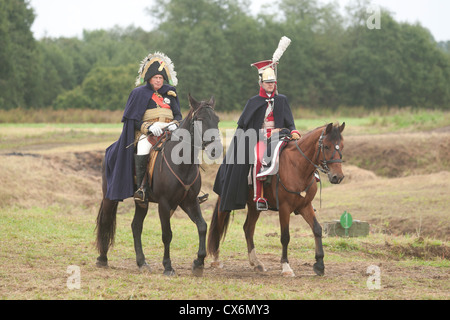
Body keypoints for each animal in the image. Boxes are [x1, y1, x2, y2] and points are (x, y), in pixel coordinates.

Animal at [96, 94, 220, 276]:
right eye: (200, 119)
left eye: (217, 120)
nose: (215, 149)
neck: (182, 163)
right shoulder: (164, 203)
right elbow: (167, 234)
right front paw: (168, 266)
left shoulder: (189, 202)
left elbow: (202, 226)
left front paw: (198, 263)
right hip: (109, 197)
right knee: (105, 220)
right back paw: (102, 258)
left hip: (142, 202)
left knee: (136, 226)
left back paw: (142, 262)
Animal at [207, 122, 344, 278]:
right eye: (326, 146)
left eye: (341, 146)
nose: (337, 177)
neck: (297, 166)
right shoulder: (284, 208)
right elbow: (285, 236)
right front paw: (286, 267)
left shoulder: (305, 206)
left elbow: (317, 229)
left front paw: (320, 265)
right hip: (225, 201)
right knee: (218, 225)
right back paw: (216, 259)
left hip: (254, 206)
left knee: (248, 228)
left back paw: (256, 263)